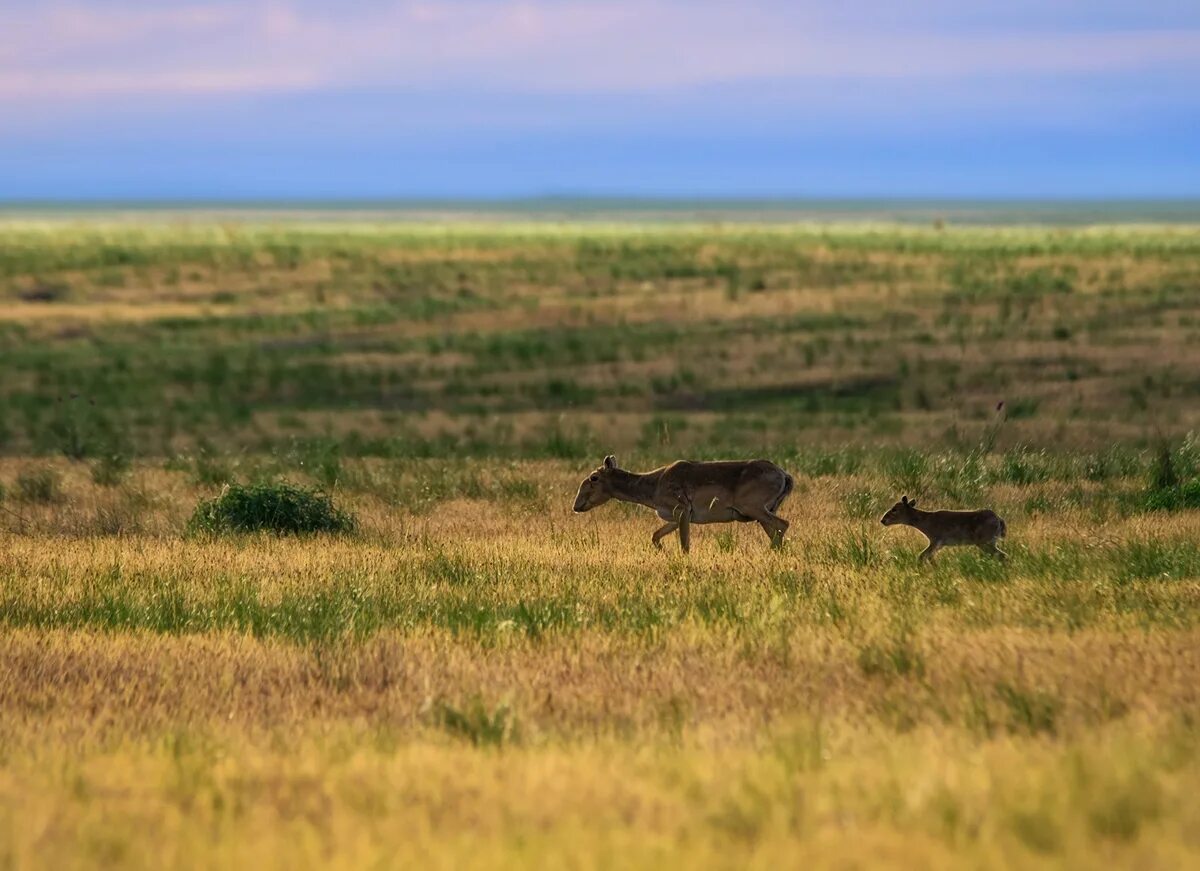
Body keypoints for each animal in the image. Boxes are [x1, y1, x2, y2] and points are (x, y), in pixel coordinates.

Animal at [568, 458, 792, 551]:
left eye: (594, 478)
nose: (576, 505)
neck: (655, 485)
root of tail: (785, 475)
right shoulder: (675, 517)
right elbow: (655, 536)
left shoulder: (683, 511)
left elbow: (685, 545)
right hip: (761, 514)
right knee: (777, 532)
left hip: (754, 508)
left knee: (783, 525)